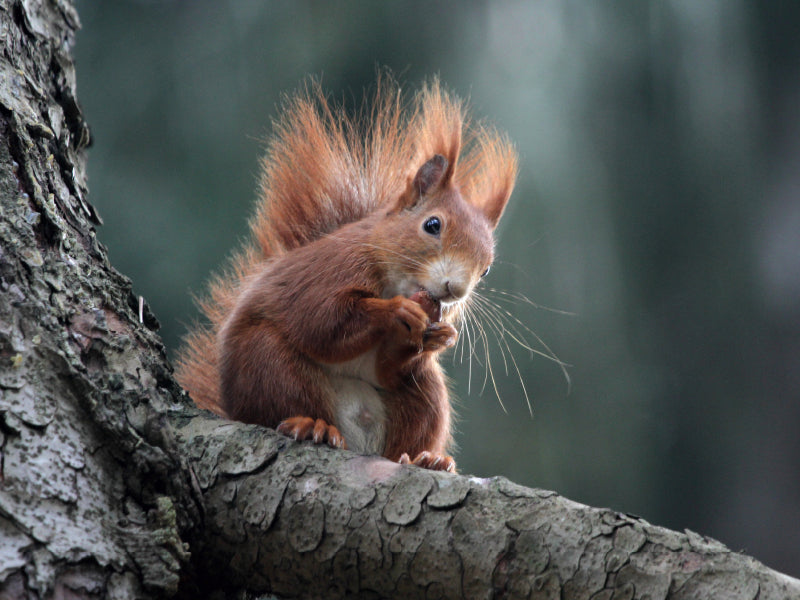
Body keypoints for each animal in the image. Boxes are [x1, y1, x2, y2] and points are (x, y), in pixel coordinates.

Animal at [175, 76, 517, 472]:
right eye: (432, 225)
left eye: (486, 269)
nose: (454, 290)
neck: (394, 279)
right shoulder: (331, 270)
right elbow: (323, 320)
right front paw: (394, 312)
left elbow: (389, 369)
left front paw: (440, 337)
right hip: (266, 362)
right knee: (282, 403)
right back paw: (313, 426)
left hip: (425, 395)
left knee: (408, 427)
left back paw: (425, 460)